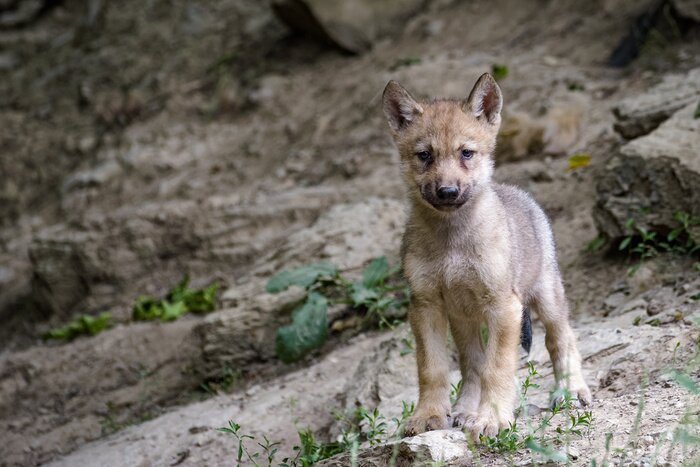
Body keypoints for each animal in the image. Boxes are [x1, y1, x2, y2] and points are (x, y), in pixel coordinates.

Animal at [381, 73, 591, 440]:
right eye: (424, 155)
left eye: (466, 153)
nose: (447, 191)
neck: (452, 242)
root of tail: (519, 193)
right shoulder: (425, 305)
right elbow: (433, 369)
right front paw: (430, 415)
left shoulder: (504, 306)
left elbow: (498, 369)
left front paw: (492, 418)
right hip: (465, 320)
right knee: (471, 365)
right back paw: (465, 410)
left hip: (545, 298)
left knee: (561, 339)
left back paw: (570, 390)